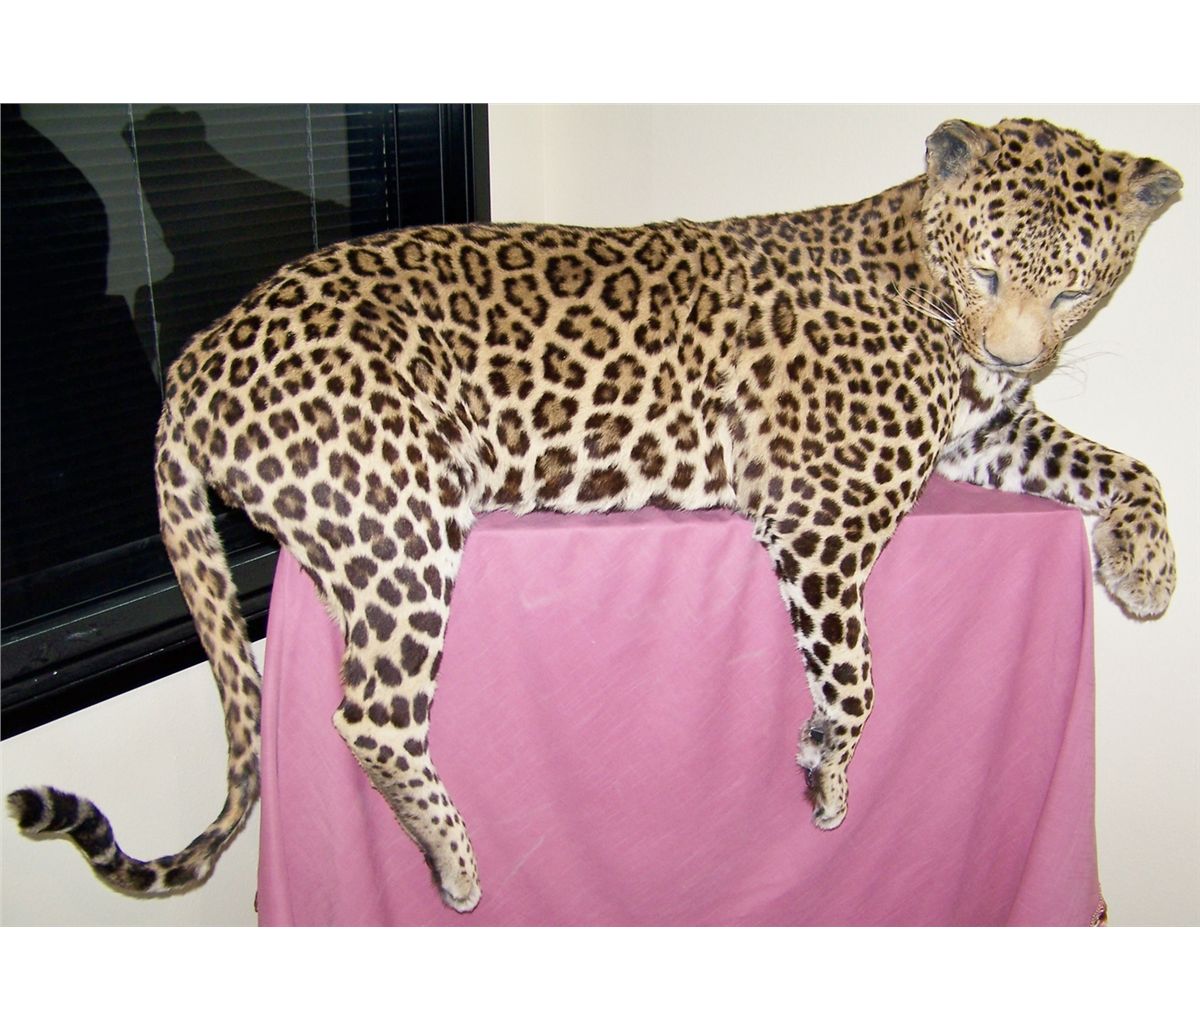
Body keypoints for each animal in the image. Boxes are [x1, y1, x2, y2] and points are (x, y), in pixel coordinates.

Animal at [8, 118, 1180, 915]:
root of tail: (195, 359)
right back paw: (456, 863)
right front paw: (827, 770)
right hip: (403, 523)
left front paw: (1148, 572)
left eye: (1077, 291)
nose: (1014, 354)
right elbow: (855, 673)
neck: (927, 278)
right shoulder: (824, 508)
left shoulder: (981, 438)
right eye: (987, 267)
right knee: (368, 714)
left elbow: (1123, 462)